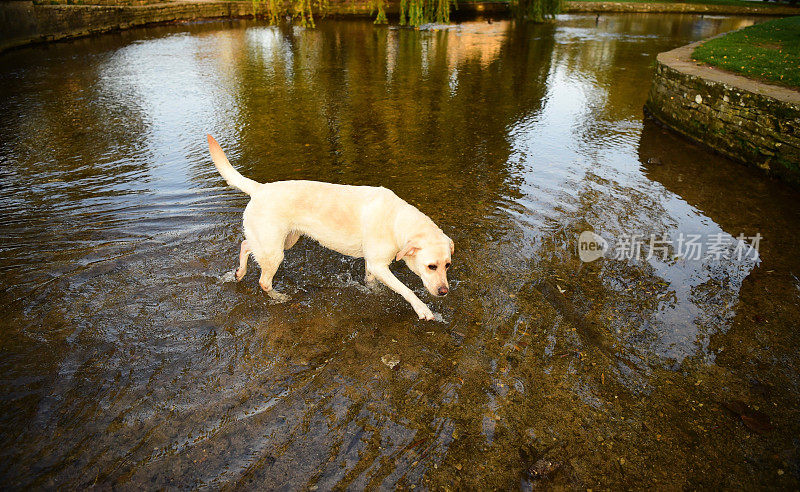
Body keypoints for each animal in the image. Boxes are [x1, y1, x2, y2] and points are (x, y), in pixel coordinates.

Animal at [209, 135, 454, 320]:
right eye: (431, 266)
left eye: (448, 265)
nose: (444, 292)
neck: (397, 221)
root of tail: (260, 188)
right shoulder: (379, 264)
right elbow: (406, 289)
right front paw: (423, 309)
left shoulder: (373, 265)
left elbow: (372, 282)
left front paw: (373, 292)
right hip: (274, 251)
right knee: (263, 281)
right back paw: (279, 297)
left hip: (282, 242)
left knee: (245, 244)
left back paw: (240, 272)